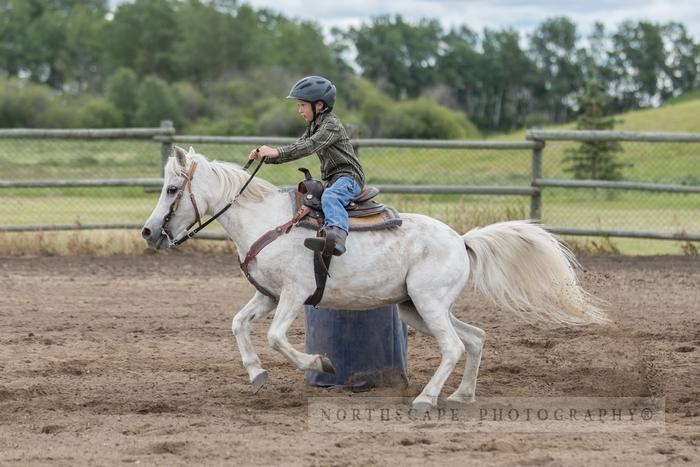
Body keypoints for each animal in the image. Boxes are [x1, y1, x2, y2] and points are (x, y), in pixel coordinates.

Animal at [142, 147, 608, 414]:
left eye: (171, 190)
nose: (148, 232)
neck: (266, 221)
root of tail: (461, 240)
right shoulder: (270, 295)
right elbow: (239, 324)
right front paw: (257, 376)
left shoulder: (294, 293)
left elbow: (275, 337)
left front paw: (321, 363)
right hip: (414, 307)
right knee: (475, 338)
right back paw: (461, 397)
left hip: (428, 303)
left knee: (454, 346)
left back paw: (425, 400)